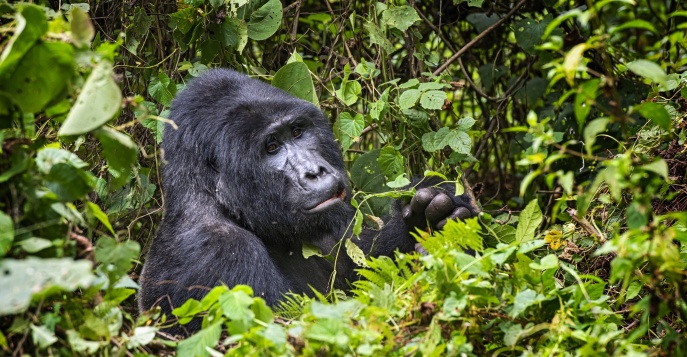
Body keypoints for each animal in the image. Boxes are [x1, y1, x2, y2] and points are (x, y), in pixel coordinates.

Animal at [137, 69, 476, 334]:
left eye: (298, 131)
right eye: (272, 147)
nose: (315, 172)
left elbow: (367, 265)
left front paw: (429, 217)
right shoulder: (220, 252)